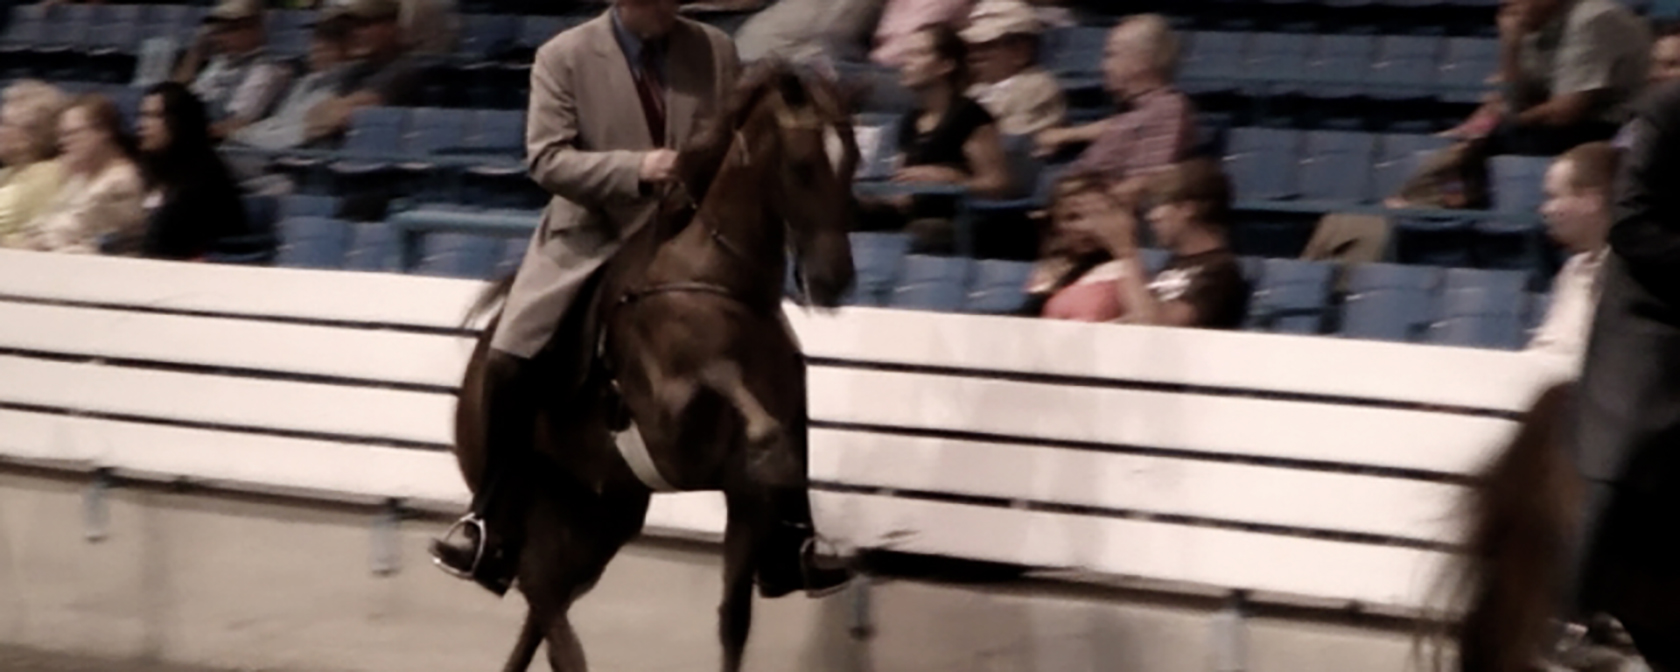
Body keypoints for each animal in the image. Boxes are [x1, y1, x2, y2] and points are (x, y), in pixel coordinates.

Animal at [453, 60, 860, 668]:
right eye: (802, 166)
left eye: (853, 161)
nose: (835, 283)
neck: (715, 282)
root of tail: (475, 370)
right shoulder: (670, 430)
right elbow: (727, 387)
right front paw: (773, 451)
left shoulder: (745, 500)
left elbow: (733, 621)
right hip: (521, 502)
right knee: (542, 597)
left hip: (596, 521)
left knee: (544, 609)